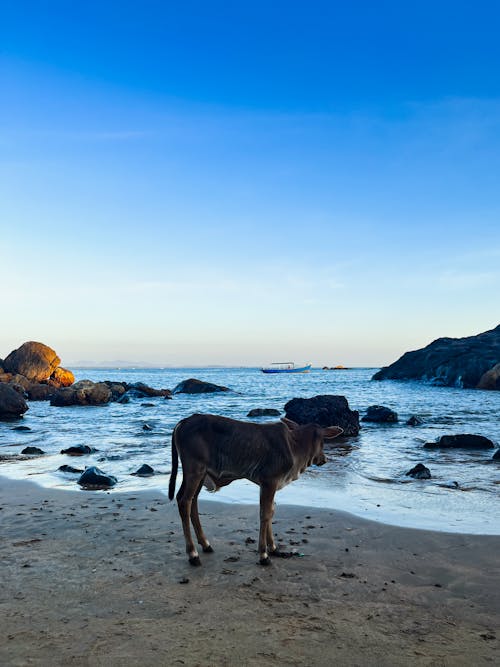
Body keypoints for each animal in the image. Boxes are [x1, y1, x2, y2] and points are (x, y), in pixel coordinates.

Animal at [168, 414, 344, 568]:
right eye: (323, 441)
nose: (324, 459)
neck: (295, 447)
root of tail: (184, 421)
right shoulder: (269, 482)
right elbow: (264, 514)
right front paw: (264, 555)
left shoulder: (267, 485)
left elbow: (270, 512)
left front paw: (273, 548)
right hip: (195, 471)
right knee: (184, 502)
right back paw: (193, 554)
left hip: (200, 474)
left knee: (192, 502)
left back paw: (205, 544)